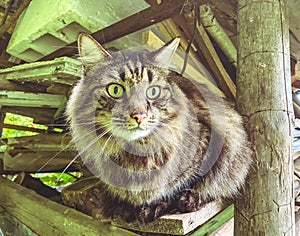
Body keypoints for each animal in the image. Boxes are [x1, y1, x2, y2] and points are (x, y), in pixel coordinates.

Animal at [66, 33, 253, 223]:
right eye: (115, 90)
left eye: (153, 92)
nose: (139, 115)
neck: (134, 153)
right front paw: (125, 207)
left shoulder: (209, 144)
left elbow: (179, 185)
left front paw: (159, 205)